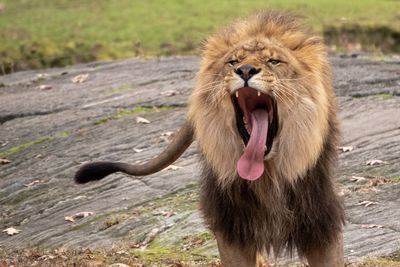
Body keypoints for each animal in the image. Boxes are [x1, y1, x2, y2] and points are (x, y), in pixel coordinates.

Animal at [76, 11, 346, 267]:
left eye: (273, 61)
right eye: (233, 62)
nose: (245, 70)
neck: (268, 177)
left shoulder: (321, 222)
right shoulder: (232, 229)